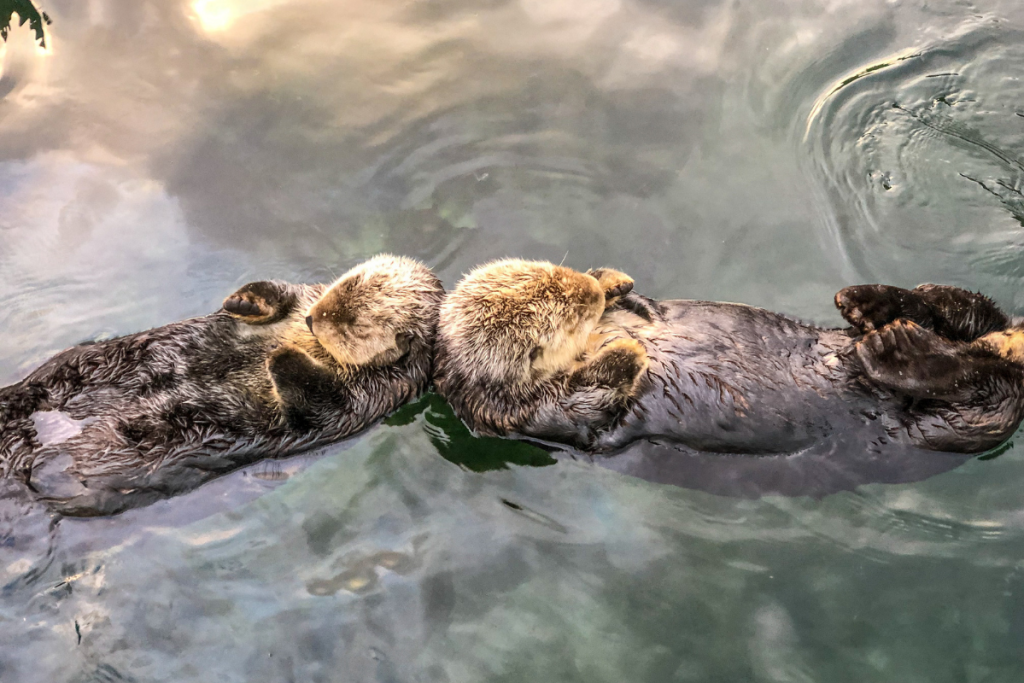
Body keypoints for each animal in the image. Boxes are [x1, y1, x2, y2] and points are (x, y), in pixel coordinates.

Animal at [2, 255, 446, 518]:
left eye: (354, 325)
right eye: (341, 285)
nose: (312, 321)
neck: (314, 345)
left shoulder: (371, 395)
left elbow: (318, 405)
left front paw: (280, 358)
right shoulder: (306, 296)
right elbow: (282, 292)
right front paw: (244, 302)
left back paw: (49, 469)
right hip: (71, 368)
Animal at [432, 259, 1024, 462]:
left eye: (560, 273)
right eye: (568, 313)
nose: (591, 293)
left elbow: (643, 307)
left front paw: (614, 281)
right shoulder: (532, 415)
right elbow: (591, 402)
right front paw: (626, 350)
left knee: (965, 309)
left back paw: (873, 304)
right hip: (947, 428)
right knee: (987, 384)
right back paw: (893, 344)